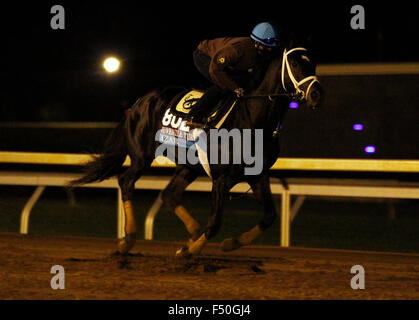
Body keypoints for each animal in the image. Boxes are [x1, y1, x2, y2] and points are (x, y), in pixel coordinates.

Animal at [70, 45, 324, 258]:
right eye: (295, 64)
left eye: (312, 63)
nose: (316, 94)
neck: (251, 119)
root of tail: (139, 101)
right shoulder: (221, 178)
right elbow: (215, 223)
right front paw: (191, 251)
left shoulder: (258, 175)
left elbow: (270, 216)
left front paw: (229, 243)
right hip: (142, 156)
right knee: (126, 181)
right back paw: (129, 240)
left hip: (188, 166)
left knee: (169, 194)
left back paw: (191, 233)